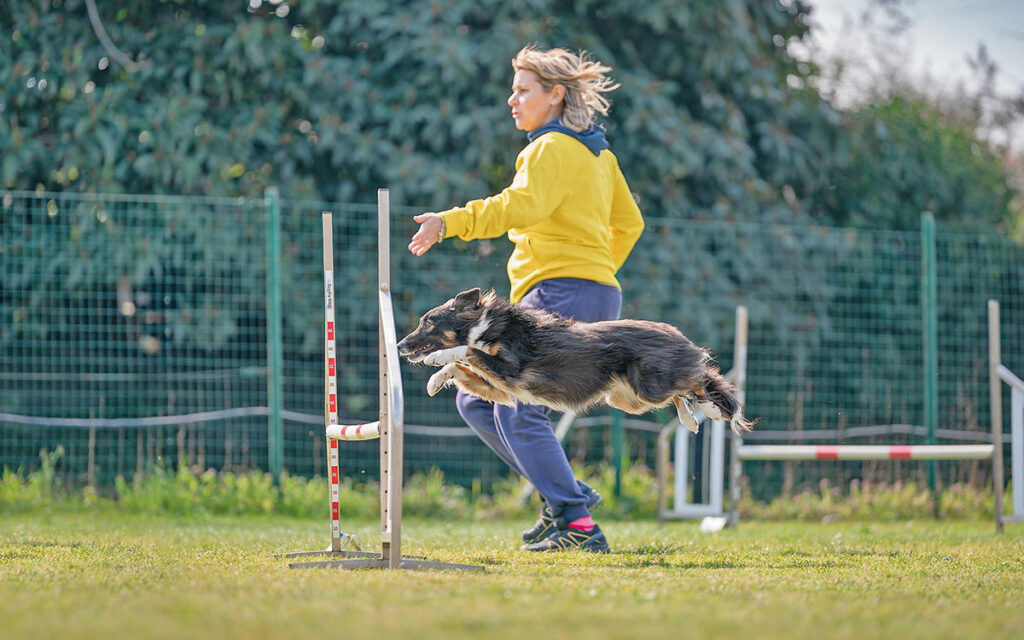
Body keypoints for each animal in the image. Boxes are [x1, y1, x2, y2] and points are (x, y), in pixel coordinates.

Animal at [393, 288, 753, 434]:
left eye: (428, 323)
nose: (398, 345)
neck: (487, 327)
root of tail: (680, 336)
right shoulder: (502, 389)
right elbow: (459, 366)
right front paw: (434, 381)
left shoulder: (510, 371)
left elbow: (464, 352)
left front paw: (436, 358)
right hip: (625, 399)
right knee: (684, 391)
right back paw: (691, 419)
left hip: (648, 386)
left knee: (697, 379)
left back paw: (706, 410)